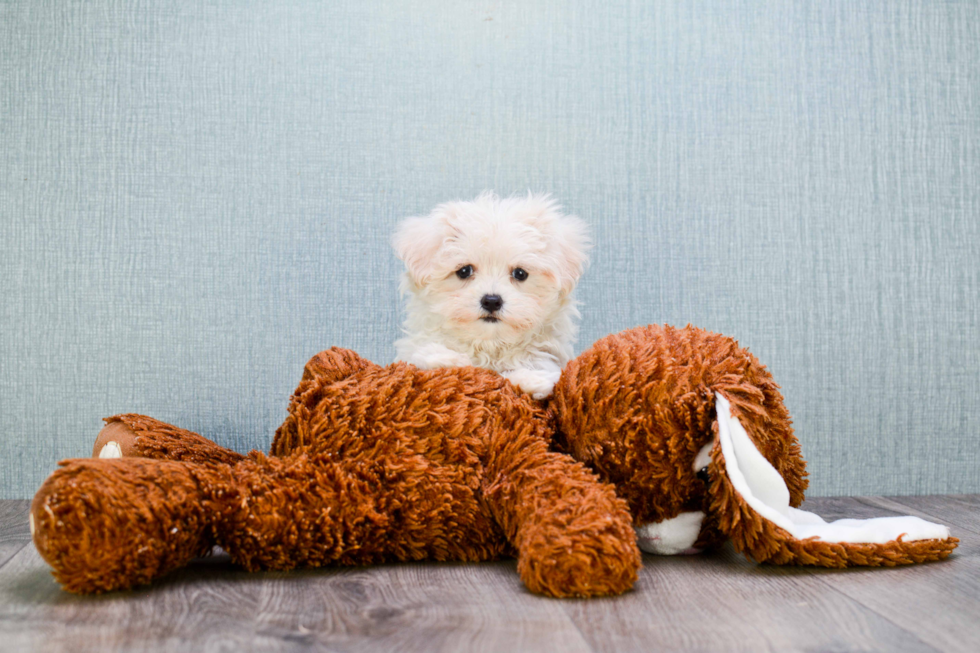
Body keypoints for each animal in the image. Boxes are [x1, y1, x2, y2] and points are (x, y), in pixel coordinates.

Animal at [390, 191, 588, 400]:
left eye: (520, 273)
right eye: (464, 271)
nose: (492, 301)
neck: (489, 345)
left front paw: (530, 378)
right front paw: (444, 358)